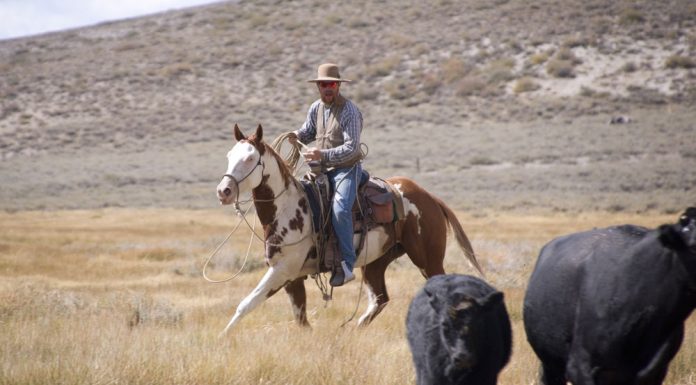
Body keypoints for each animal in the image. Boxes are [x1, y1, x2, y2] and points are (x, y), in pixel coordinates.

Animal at [215, 124, 482, 334]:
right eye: (228, 155)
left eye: (249, 158)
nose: (223, 191)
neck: (288, 208)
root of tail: (430, 198)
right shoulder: (292, 276)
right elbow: (301, 318)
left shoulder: (282, 271)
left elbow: (247, 303)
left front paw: (222, 338)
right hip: (376, 263)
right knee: (379, 299)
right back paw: (353, 330)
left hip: (428, 260)